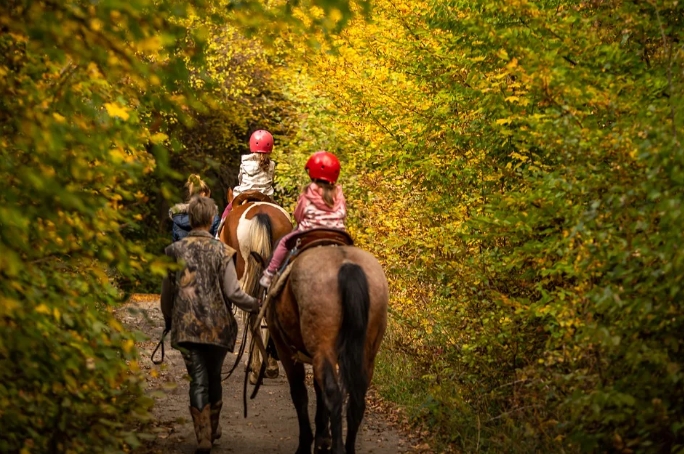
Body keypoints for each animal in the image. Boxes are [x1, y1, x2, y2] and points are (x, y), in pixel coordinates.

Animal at [260, 231, 388, 454]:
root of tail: (347, 265)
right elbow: (317, 391)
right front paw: (322, 438)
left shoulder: (287, 352)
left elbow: (300, 393)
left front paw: (307, 443)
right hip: (366, 355)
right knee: (356, 401)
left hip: (322, 347)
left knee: (332, 393)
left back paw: (337, 448)